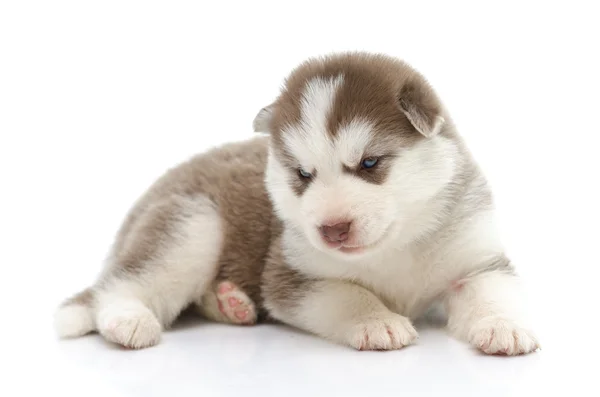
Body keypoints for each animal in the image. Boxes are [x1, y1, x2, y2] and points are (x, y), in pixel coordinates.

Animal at [52, 51, 540, 352]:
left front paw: (504, 326)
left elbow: (492, 291)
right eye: (304, 175)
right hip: (192, 224)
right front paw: (375, 321)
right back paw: (127, 320)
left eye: (369, 163)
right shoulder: (291, 274)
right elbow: (348, 293)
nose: (332, 229)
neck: (396, 245)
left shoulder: (476, 260)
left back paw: (230, 303)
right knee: (118, 287)